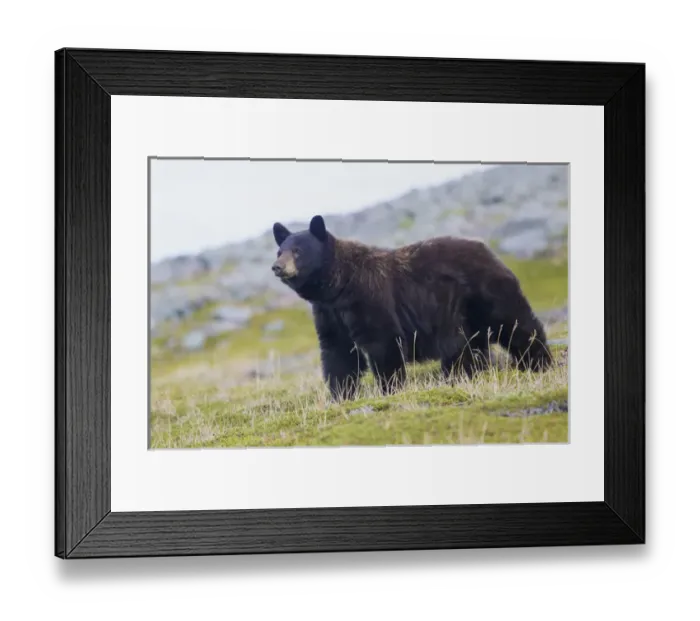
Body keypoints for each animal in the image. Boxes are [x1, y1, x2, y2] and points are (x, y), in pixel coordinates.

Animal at [271, 215, 552, 401]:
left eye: (298, 250)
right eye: (279, 251)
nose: (277, 267)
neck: (338, 286)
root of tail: (489, 250)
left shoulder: (368, 298)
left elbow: (383, 342)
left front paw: (390, 389)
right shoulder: (329, 313)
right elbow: (338, 353)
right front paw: (341, 395)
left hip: (484, 293)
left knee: (515, 324)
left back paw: (538, 361)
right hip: (459, 314)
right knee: (466, 348)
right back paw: (464, 375)